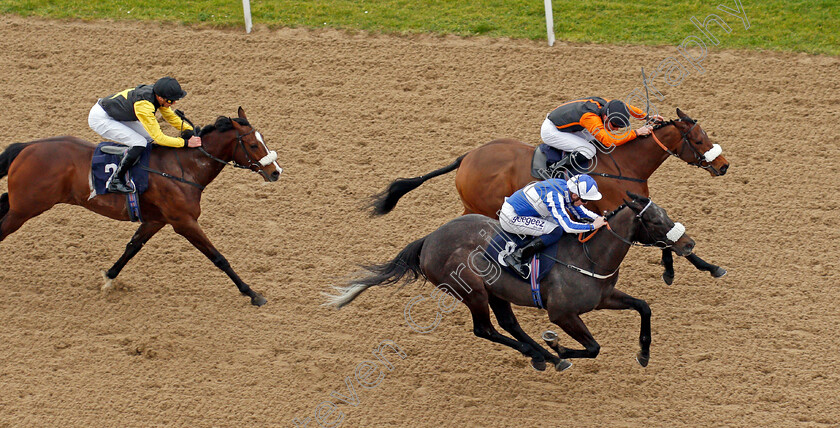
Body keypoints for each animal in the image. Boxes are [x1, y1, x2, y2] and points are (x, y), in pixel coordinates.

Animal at [0, 107, 282, 308]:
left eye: (264, 140)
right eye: (253, 145)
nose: (275, 172)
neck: (183, 168)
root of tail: (28, 147)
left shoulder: (156, 220)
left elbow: (132, 247)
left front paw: (108, 278)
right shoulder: (184, 222)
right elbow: (218, 257)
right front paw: (253, 294)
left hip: (21, 203)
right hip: (25, 208)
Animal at [328, 194, 696, 372]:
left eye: (664, 214)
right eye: (655, 220)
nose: (688, 243)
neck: (589, 255)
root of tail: (428, 240)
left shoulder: (603, 297)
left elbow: (643, 307)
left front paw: (644, 353)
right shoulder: (562, 313)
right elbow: (593, 348)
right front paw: (558, 346)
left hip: (496, 290)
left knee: (508, 323)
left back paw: (541, 355)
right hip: (472, 291)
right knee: (485, 329)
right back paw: (545, 355)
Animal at [368, 108, 728, 284]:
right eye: (698, 139)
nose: (723, 165)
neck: (623, 165)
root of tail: (467, 157)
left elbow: (667, 234)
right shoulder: (618, 209)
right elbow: (664, 238)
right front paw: (705, 268)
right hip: (483, 206)